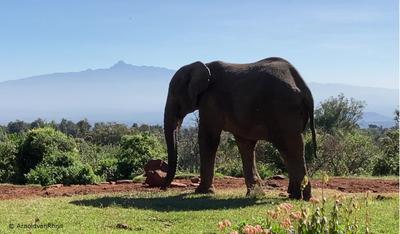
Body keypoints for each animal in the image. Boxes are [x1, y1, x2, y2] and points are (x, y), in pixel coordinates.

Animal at [161, 56, 318, 199]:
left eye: (175, 96)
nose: (163, 187)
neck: (203, 65)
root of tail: (305, 89)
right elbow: (245, 144)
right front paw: (254, 193)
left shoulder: (211, 100)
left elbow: (208, 138)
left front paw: (202, 192)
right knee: (289, 150)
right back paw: (294, 195)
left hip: (284, 109)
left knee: (291, 146)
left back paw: (299, 196)